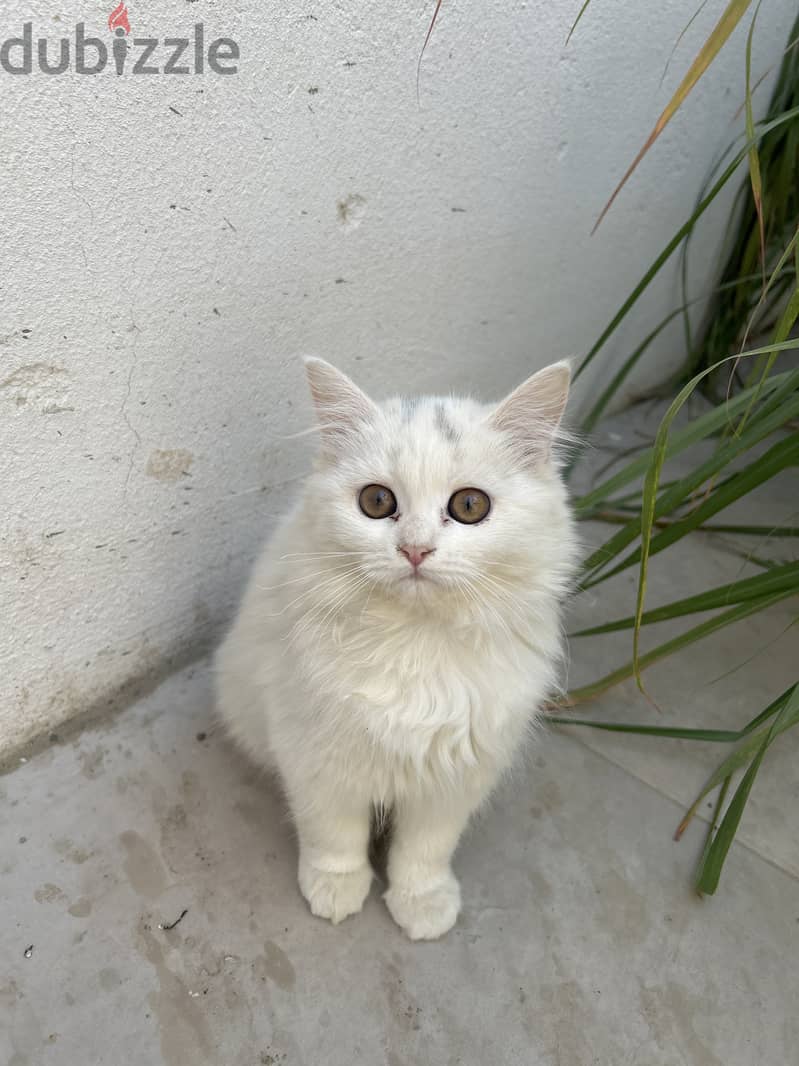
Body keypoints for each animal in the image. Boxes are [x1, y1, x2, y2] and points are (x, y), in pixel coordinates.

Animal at [216, 358, 579, 942]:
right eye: (377, 502)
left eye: (470, 506)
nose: (415, 550)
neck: (416, 640)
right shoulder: (316, 753)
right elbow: (333, 834)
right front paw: (336, 890)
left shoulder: (457, 771)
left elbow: (424, 851)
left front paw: (422, 905)